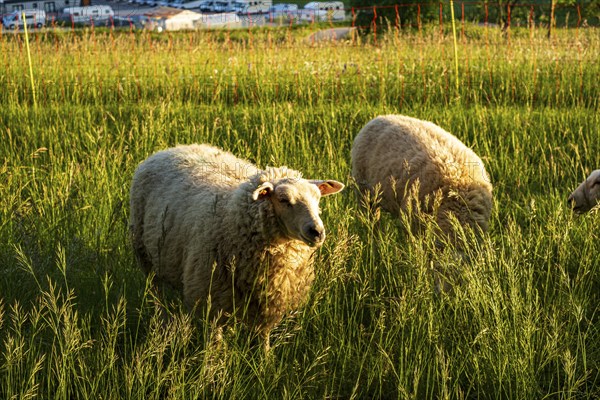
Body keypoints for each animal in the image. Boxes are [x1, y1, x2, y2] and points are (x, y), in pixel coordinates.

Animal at [129, 145, 344, 350]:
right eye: (283, 200)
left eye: (318, 198)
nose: (317, 231)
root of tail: (171, 149)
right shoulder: (211, 299)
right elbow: (215, 342)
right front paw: (214, 362)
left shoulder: (267, 302)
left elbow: (263, 339)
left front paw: (264, 360)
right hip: (148, 261)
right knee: (159, 300)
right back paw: (163, 328)